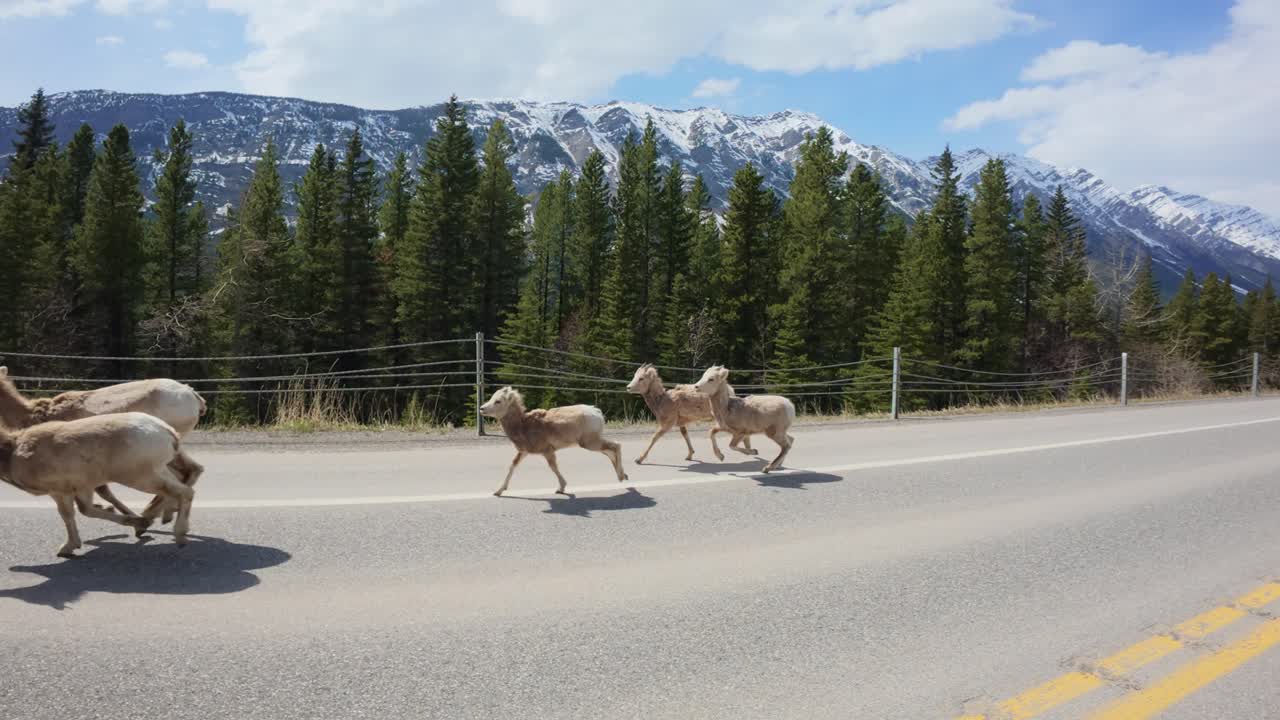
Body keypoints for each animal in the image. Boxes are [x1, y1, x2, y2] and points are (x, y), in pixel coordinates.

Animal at [0, 366, 205, 521]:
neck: (29, 416)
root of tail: (193, 396)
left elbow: (102, 492)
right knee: (188, 472)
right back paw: (163, 513)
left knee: (185, 473)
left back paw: (154, 513)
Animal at [0, 413, 203, 557]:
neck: (13, 452)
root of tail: (167, 431)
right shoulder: (83, 487)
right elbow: (87, 510)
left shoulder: (59, 491)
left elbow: (69, 514)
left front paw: (67, 548)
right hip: (161, 469)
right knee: (187, 480)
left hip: (141, 478)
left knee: (185, 492)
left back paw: (179, 535)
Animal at [480, 386, 628, 496]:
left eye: (498, 401)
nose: (482, 408)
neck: (523, 426)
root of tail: (596, 412)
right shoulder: (524, 452)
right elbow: (513, 465)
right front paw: (498, 491)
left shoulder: (547, 451)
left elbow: (553, 467)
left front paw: (561, 488)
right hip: (593, 441)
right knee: (610, 451)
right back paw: (623, 476)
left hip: (589, 443)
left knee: (616, 445)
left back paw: (621, 477)